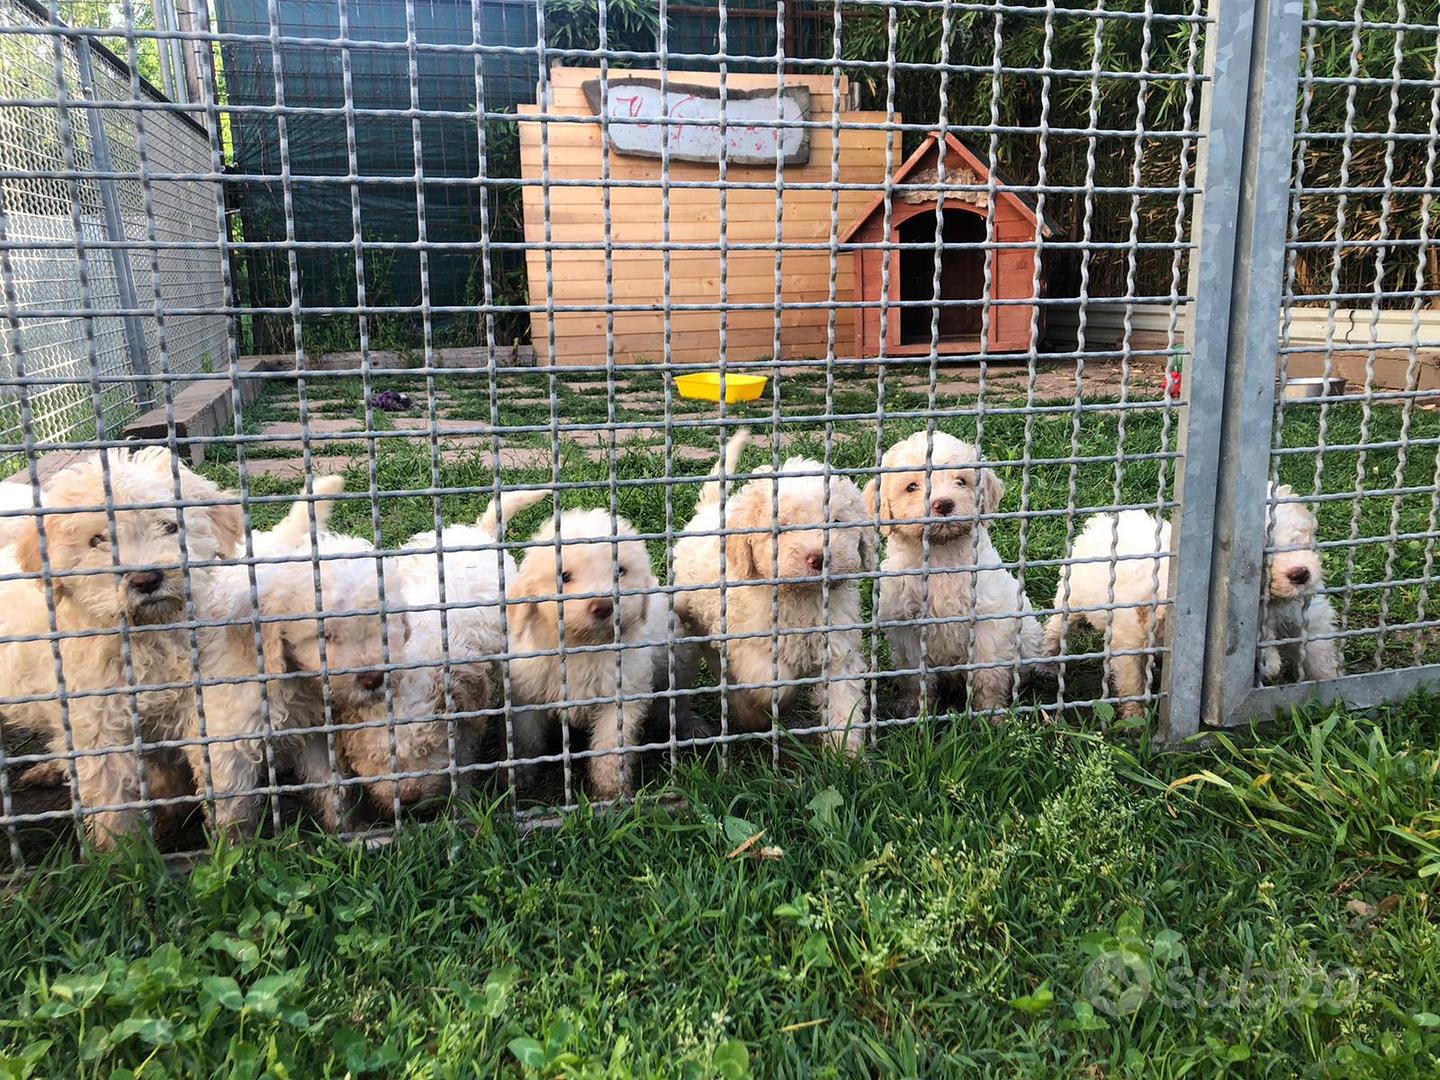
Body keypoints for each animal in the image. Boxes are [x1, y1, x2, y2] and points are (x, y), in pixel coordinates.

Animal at [336, 489, 544, 812]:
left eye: (427, 749)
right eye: (379, 759)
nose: (409, 799)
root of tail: (478, 532)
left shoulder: (467, 706)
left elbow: (464, 755)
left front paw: (462, 801)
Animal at [506, 501, 662, 806]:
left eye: (620, 571)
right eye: (564, 576)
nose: (602, 606)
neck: (584, 647)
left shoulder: (622, 696)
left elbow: (611, 749)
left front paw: (611, 794)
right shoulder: (526, 696)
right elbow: (526, 739)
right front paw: (521, 780)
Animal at [671, 432, 875, 754]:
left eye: (837, 522)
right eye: (784, 526)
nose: (818, 557)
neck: (800, 597)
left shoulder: (837, 647)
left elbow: (844, 700)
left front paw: (846, 752)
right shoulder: (748, 643)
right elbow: (771, 680)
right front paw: (767, 707)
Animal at [864, 432, 1048, 720]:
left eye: (961, 481)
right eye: (911, 487)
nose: (944, 504)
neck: (941, 556)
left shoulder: (988, 621)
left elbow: (988, 673)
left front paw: (991, 714)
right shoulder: (908, 627)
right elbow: (916, 676)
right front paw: (915, 710)